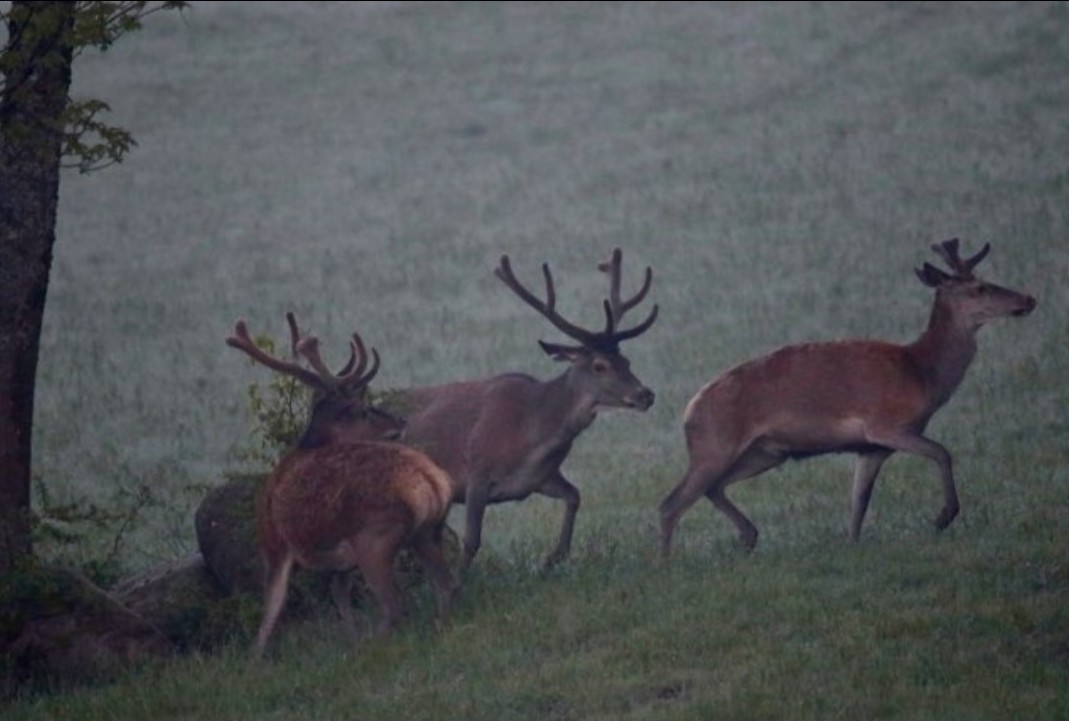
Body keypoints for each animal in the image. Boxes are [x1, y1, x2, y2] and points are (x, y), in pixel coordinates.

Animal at [225, 312, 459, 654]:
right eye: (362, 409)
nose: (401, 422)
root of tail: (432, 483)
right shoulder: (339, 563)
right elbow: (339, 598)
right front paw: (351, 641)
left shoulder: (275, 540)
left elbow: (270, 613)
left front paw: (255, 658)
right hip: (427, 533)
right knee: (446, 585)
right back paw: (440, 628)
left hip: (374, 538)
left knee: (394, 606)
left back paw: (378, 646)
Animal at [395, 250, 654, 569]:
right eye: (600, 365)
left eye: (627, 361)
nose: (646, 395)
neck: (532, 432)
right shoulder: (476, 472)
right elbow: (472, 541)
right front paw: (462, 577)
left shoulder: (539, 477)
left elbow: (575, 495)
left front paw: (554, 557)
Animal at [658, 238, 1034, 551]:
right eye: (980, 288)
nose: (1028, 299)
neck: (921, 373)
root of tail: (689, 409)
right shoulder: (886, 425)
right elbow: (943, 452)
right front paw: (944, 516)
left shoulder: (871, 449)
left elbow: (859, 504)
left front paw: (852, 544)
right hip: (714, 445)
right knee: (671, 503)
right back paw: (667, 563)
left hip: (765, 453)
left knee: (712, 488)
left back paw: (748, 536)